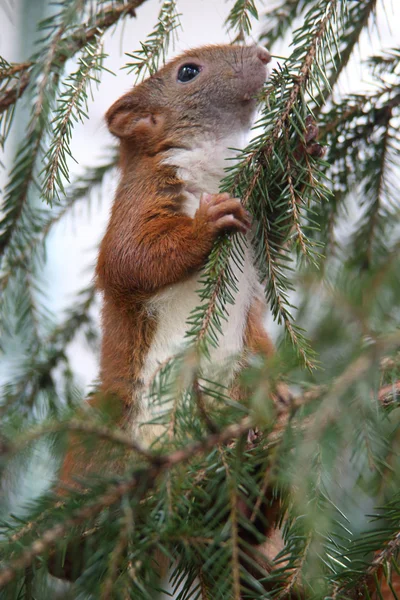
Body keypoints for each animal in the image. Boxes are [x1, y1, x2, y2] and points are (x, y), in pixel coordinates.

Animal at [53, 44, 322, 588]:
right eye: (188, 72)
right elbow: (132, 256)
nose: (262, 52)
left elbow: (277, 231)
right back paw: (73, 548)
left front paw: (302, 145)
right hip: (109, 423)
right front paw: (205, 225)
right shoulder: (142, 197)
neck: (215, 160)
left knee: (258, 509)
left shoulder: (257, 226)